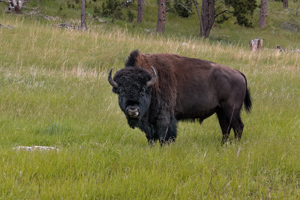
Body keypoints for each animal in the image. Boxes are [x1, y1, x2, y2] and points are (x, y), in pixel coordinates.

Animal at [108, 49, 251, 144]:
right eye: (121, 91)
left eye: (143, 91)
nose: (132, 110)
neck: (153, 83)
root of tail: (238, 73)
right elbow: (151, 138)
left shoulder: (164, 118)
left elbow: (164, 136)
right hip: (220, 111)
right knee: (225, 127)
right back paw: (223, 145)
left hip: (231, 109)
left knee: (238, 127)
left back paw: (234, 145)